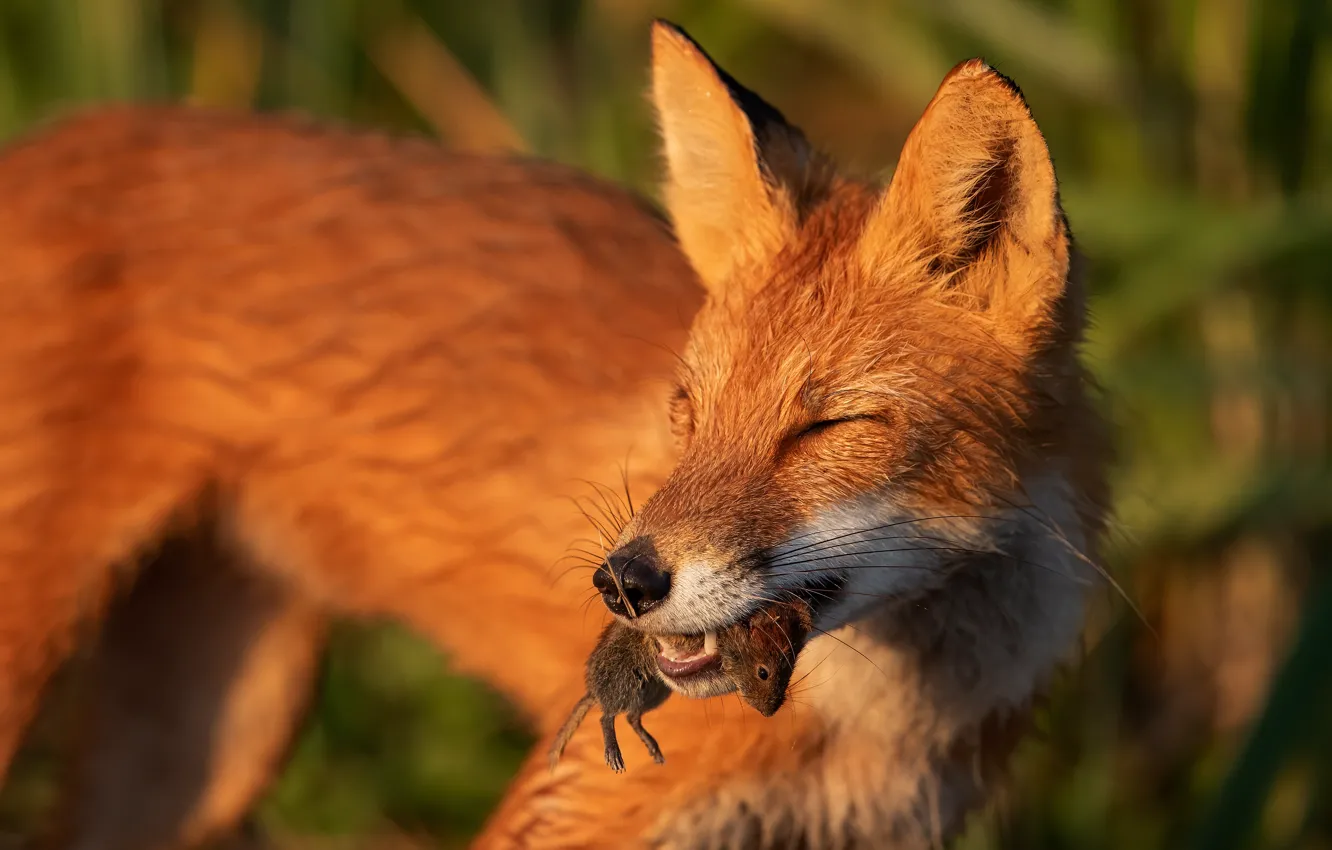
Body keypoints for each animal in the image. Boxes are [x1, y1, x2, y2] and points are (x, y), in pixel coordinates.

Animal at [0, 19, 1109, 850]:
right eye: (687, 408)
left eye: (826, 425)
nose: (624, 582)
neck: (883, 724)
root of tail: (48, 136)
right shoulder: (572, 806)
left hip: (212, 741)